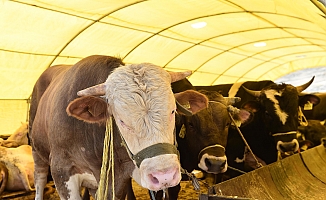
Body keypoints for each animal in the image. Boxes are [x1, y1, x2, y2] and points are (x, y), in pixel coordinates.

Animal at [29, 55, 209, 200]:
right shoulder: (61, 170)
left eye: (173, 111)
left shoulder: (117, 179)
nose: (164, 176)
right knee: (39, 179)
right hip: (37, 151)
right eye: (121, 121)